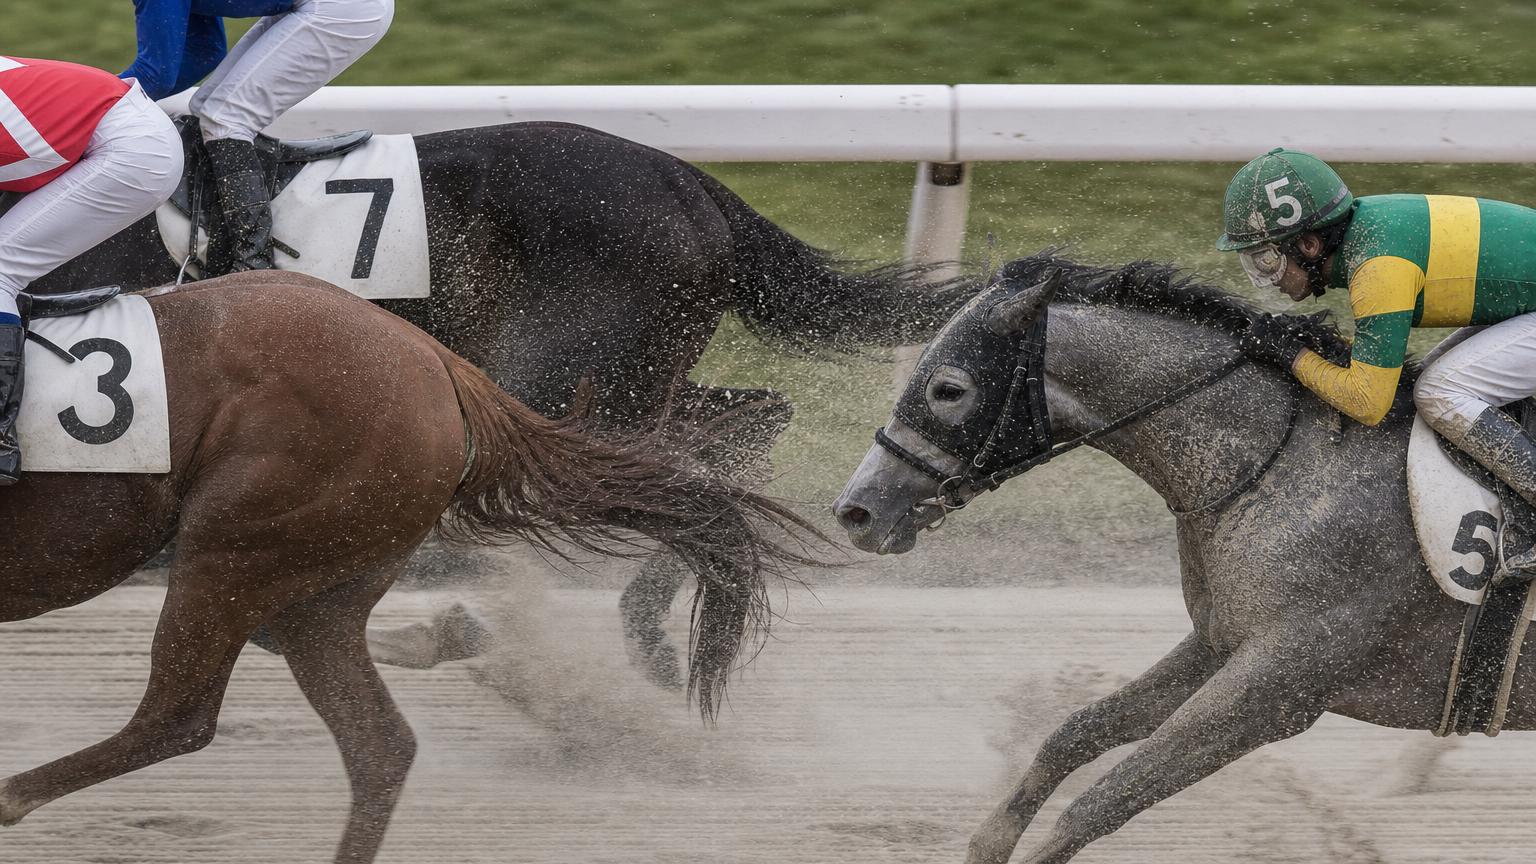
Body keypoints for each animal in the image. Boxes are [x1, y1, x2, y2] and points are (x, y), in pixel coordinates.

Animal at [0, 271, 812, 864]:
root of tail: (438, 363)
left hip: (237, 551)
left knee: (180, 716)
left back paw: (10, 797)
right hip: (316, 581)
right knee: (379, 745)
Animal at [31, 119, 969, 687]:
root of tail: (691, 184)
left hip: (570, 384)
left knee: (672, 465)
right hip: (633, 380)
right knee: (748, 422)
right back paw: (650, 626)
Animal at [831, 252, 1519, 864]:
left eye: (949, 388)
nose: (856, 510)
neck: (1276, 465)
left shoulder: (1278, 689)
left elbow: (1106, 799)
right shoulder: (1221, 644)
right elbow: (1075, 732)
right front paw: (988, 841)